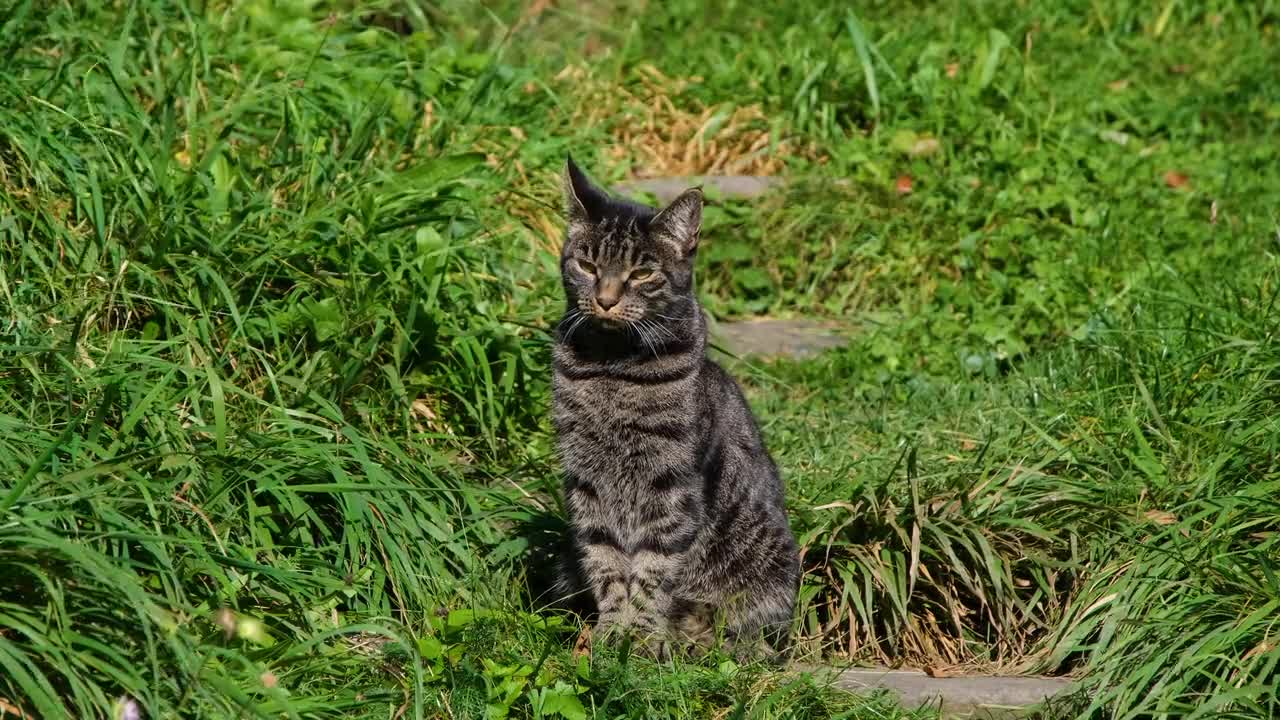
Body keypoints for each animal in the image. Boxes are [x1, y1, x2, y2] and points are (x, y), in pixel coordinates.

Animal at [552, 154, 798, 661]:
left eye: (642, 274)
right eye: (586, 264)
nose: (605, 299)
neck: (612, 367)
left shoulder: (672, 485)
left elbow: (652, 571)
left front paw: (643, 637)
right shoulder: (585, 482)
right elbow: (606, 563)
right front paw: (613, 631)